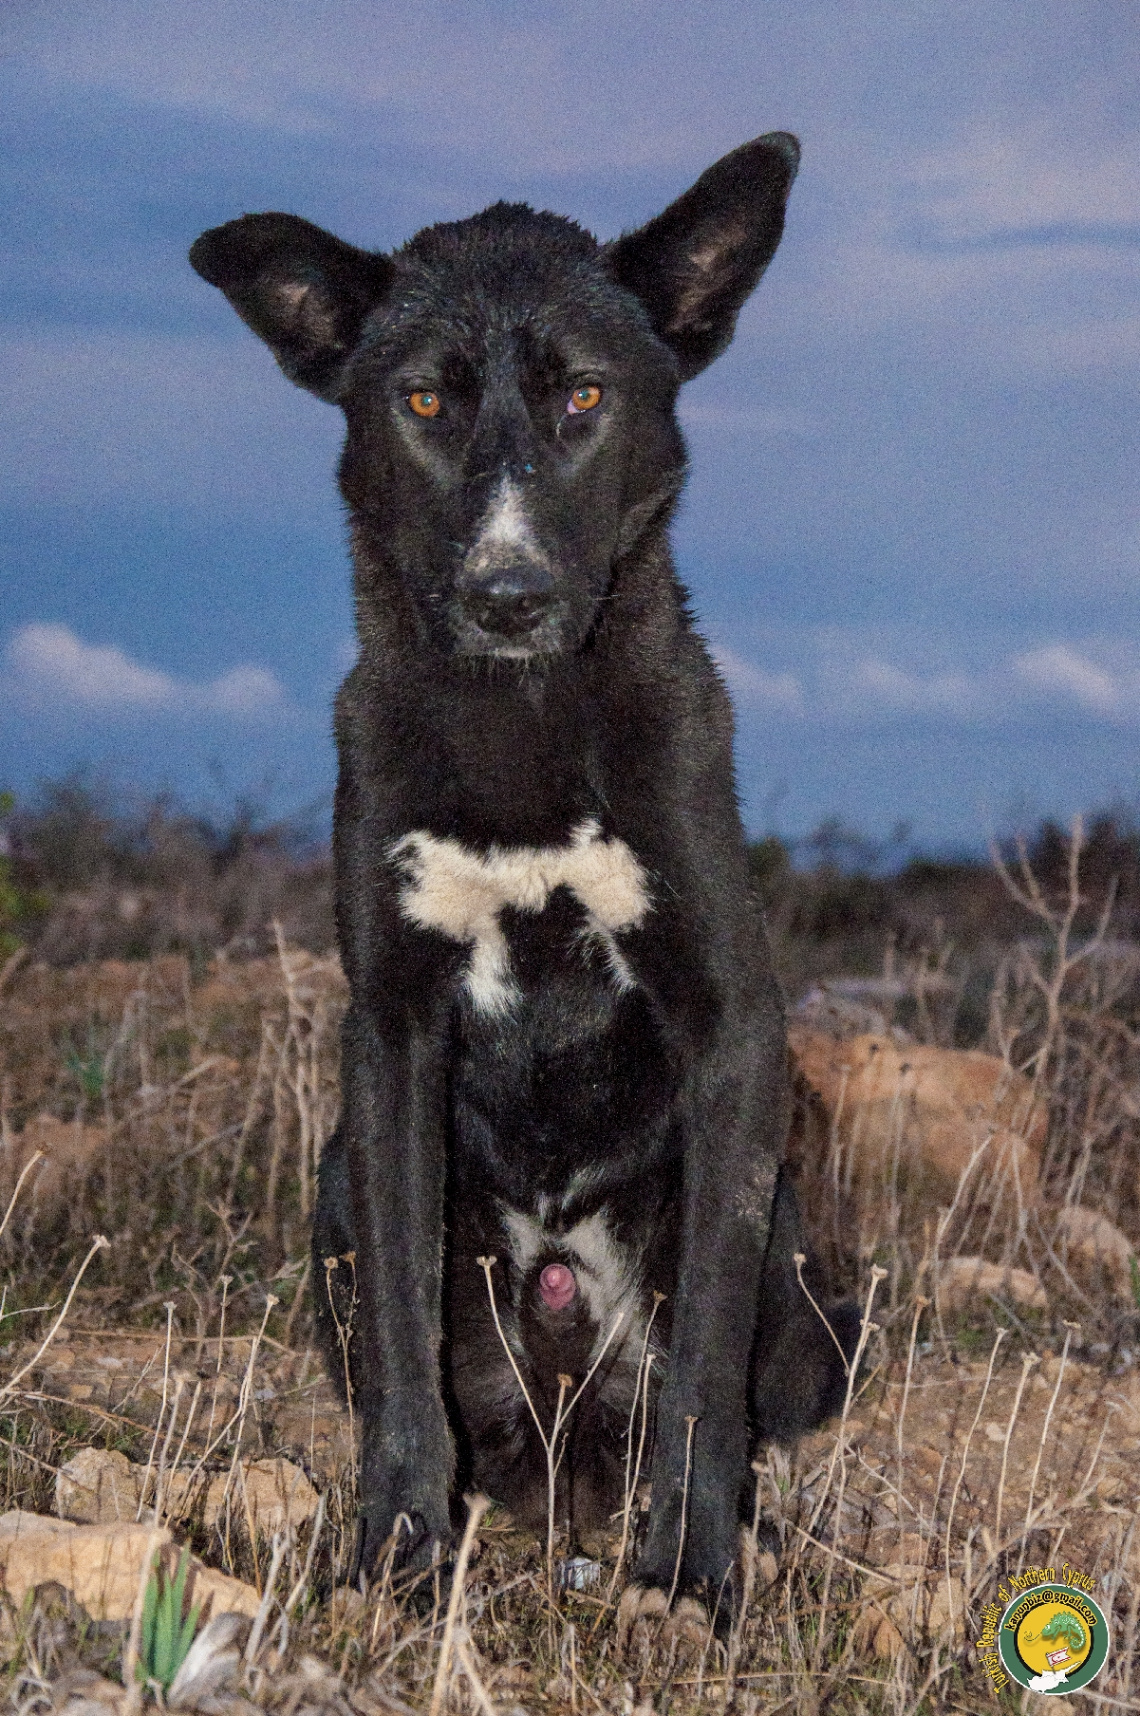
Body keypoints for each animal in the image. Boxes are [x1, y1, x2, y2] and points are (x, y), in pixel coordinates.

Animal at [191, 137, 855, 1619]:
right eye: (425, 400)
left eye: (587, 399)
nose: (509, 595)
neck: (522, 718)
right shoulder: (388, 1034)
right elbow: (399, 1339)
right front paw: (395, 1552)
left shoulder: (732, 1026)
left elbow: (703, 1354)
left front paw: (690, 1574)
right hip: (333, 1175)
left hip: (808, 1298)